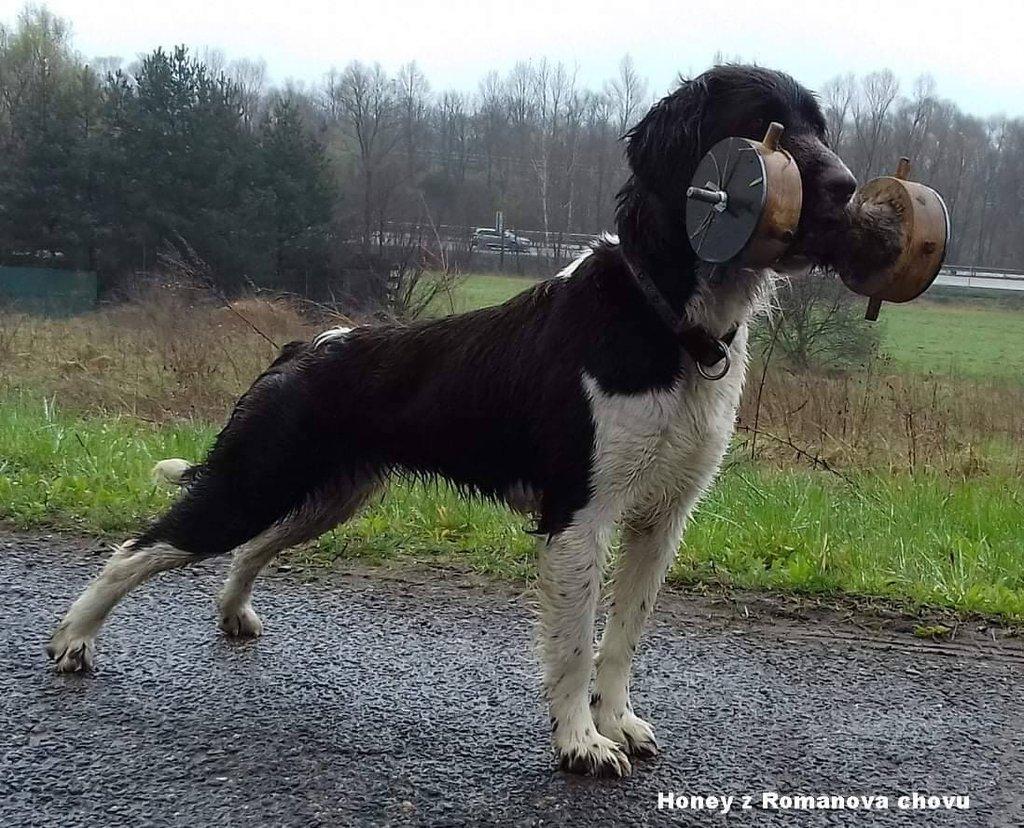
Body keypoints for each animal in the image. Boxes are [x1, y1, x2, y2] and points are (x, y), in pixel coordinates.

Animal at [49, 68, 856, 777]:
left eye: (820, 128)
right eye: (763, 126)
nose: (849, 189)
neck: (666, 319)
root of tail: (302, 347)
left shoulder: (662, 518)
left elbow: (623, 637)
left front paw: (618, 721)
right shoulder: (579, 517)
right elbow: (573, 647)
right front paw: (580, 744)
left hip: (330, 494)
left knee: (248, 550)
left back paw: (231, 615)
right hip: (252, 483)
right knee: (137, 547)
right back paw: (73, 641)